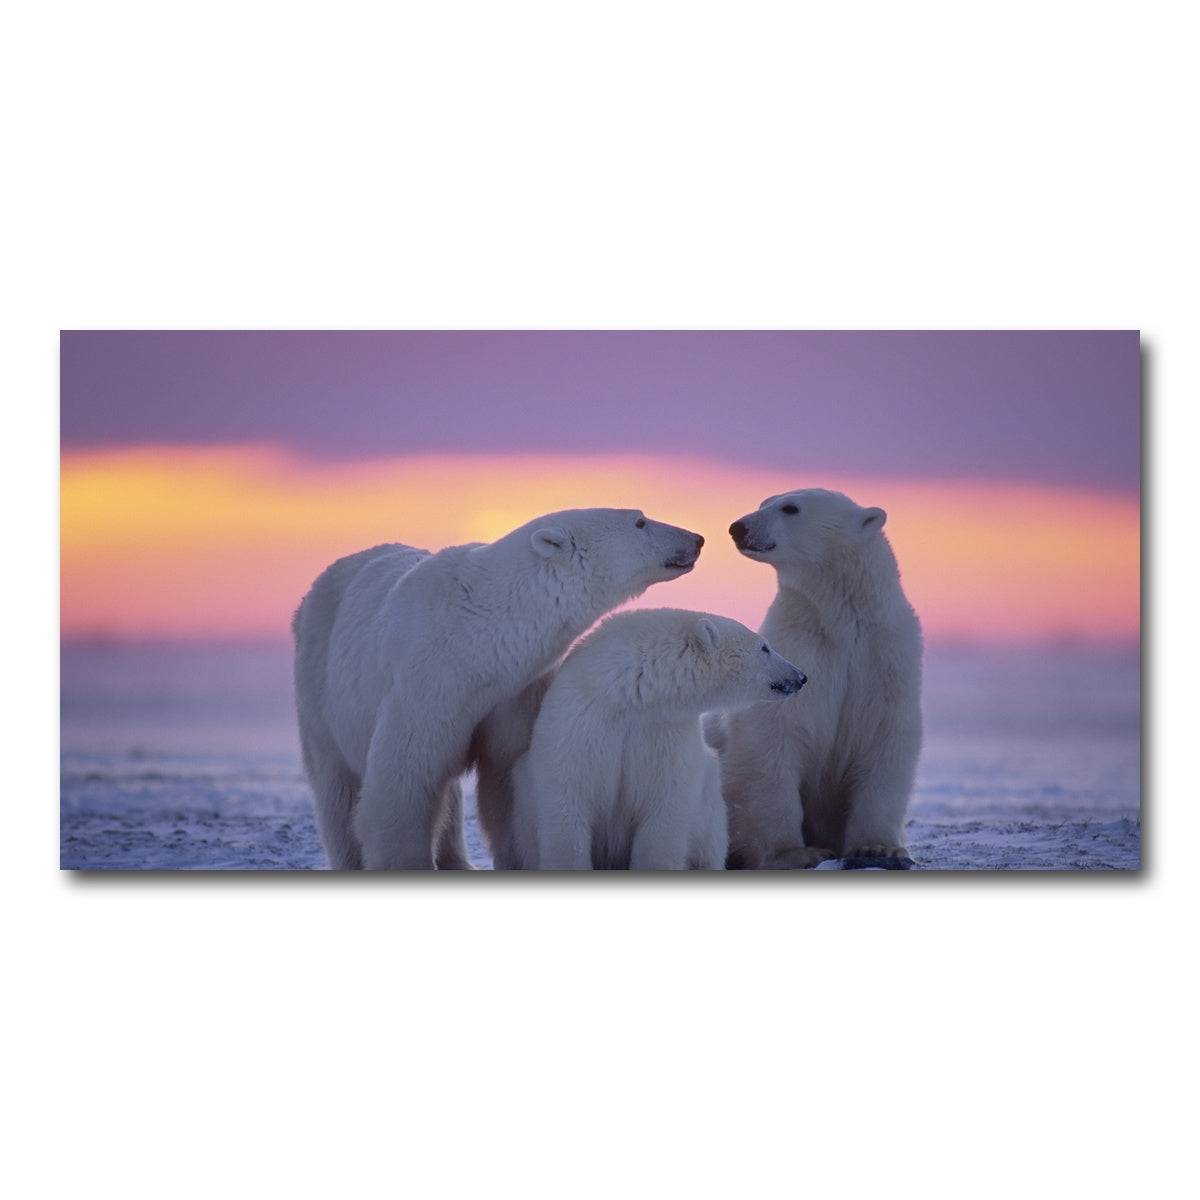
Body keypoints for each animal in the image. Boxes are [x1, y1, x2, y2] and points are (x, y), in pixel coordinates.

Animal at [292, 509, 705, 869]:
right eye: (640, 521)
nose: (697, 538)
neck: (478, 638)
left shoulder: (515, 693)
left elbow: (508, 776)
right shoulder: (425, 683)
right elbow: (404, 779)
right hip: (319, 685)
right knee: (337, 787)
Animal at [505, 608, 808, 871]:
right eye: (765, 647)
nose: (801, 676)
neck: (630, 695)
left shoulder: (665, 732)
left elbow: (664, 810)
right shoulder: (581, 721)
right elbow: (568, 801)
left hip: (710, 802)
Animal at [712, 488, 923, 869]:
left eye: (790, 508)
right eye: (763, 502)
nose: (738, 527)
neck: (840, 622)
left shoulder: (885, 659)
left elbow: (886, 741)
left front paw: (878, 847)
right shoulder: (799, 653)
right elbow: (773, 739)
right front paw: (796, 852)